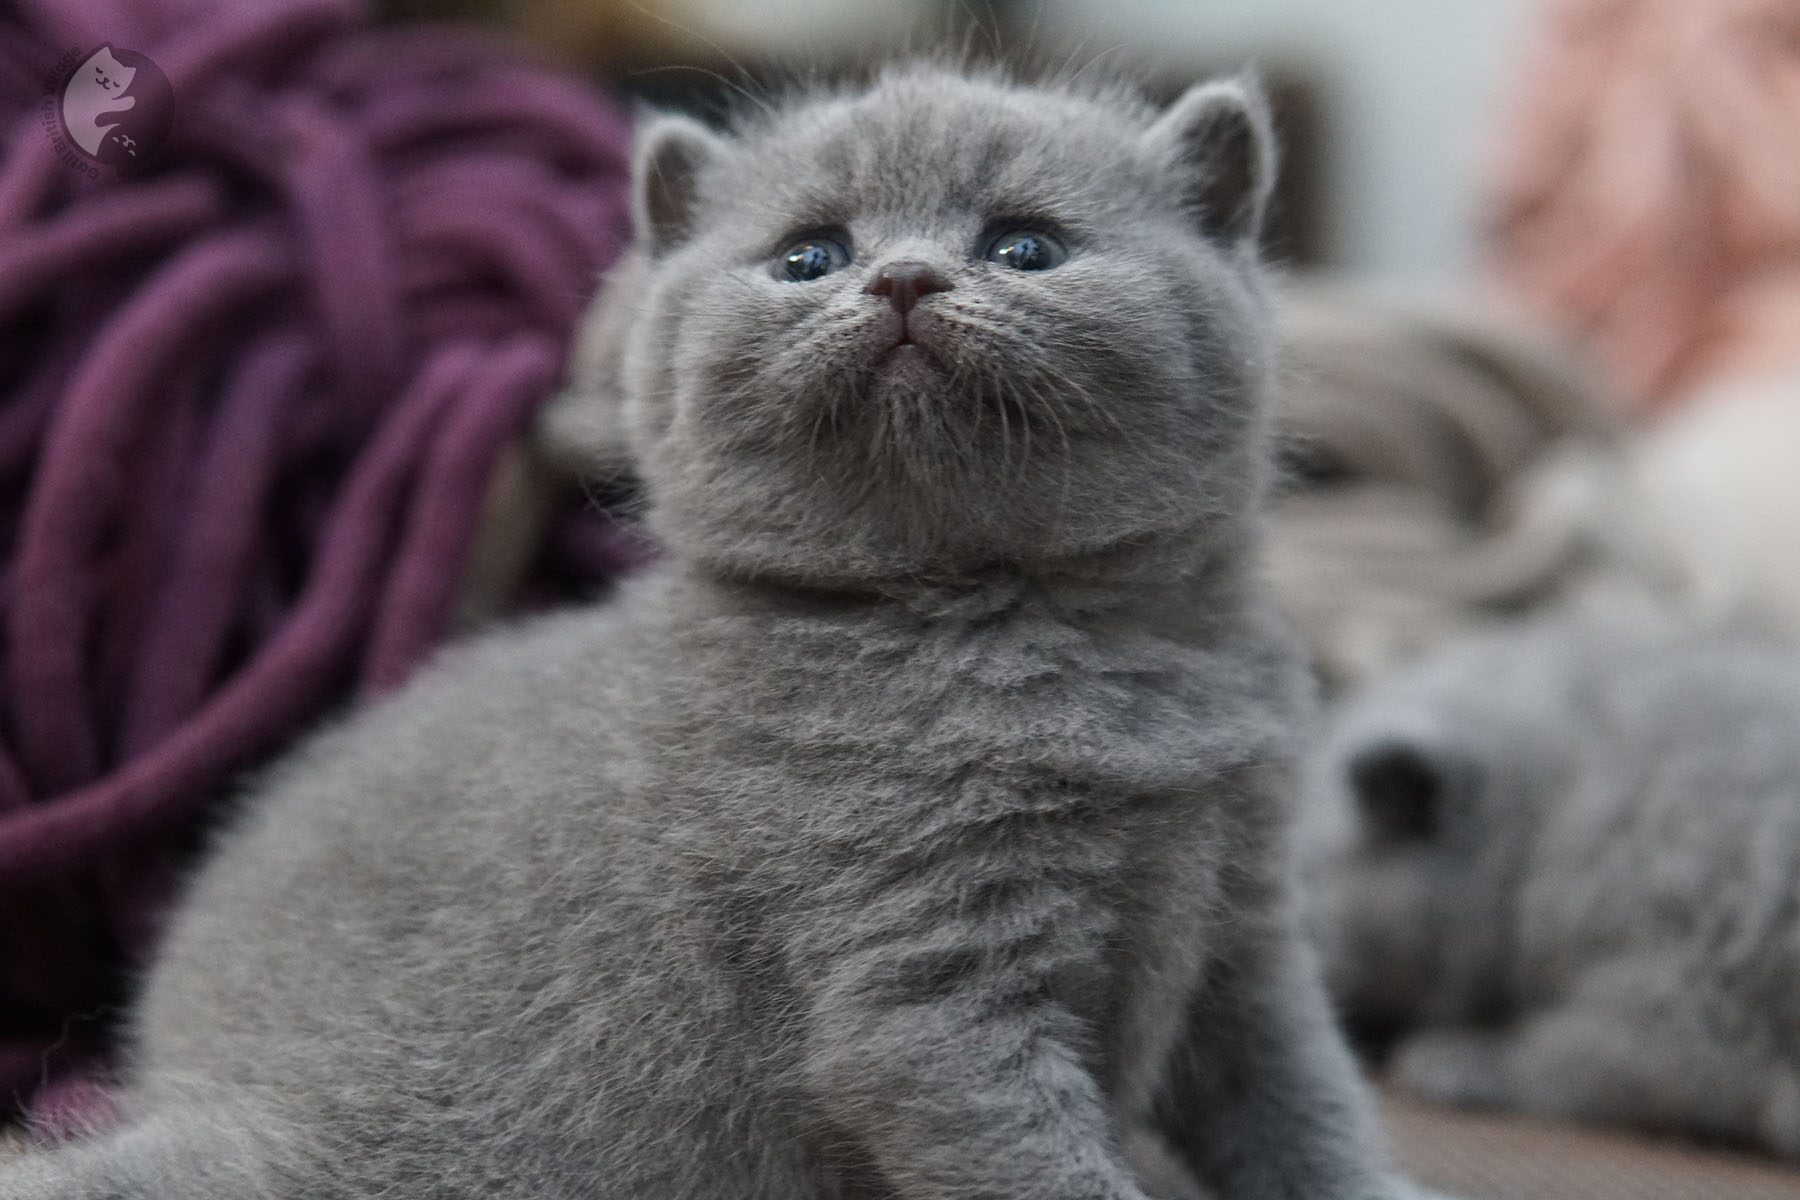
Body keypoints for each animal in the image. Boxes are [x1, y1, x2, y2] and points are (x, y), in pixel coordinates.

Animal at [7, 63, 1418, 1200]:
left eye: (1025, 247)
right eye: (809, 256)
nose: (904, 277)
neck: (1034, 625)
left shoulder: (1249, 936)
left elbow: (1307, 1109)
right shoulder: (930, 998)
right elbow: (1044, 1165)